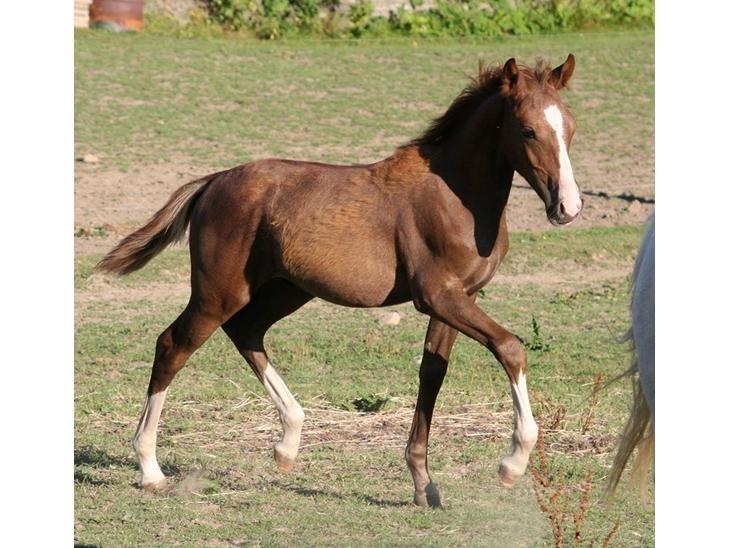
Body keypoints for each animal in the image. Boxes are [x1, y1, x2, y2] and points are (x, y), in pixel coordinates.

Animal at [99, 53, 584, 508]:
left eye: (572, 128)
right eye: (527, 130)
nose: (568, 207)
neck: (457, 196)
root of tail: (213, 181)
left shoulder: (462, 296)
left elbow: (432, 373)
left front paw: (423, 485)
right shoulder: (437, 295)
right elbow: (510, 347)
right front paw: (512, 463)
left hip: (285, 290)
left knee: (246, 331)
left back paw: (288, 443)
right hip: (218, 292)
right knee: (173, 345)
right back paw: (150, 468)